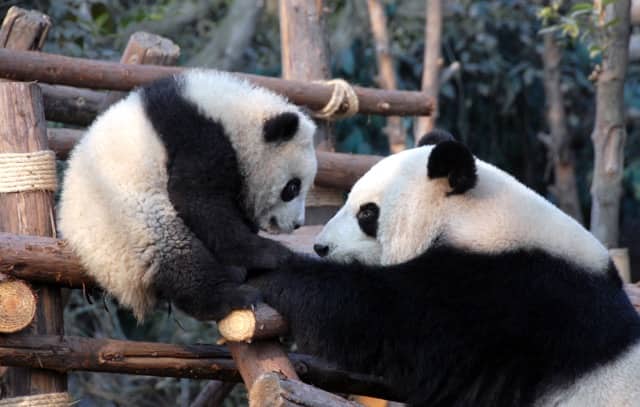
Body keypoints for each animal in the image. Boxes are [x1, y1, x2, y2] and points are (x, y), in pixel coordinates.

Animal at [58, 70, 317, 322]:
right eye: (292, 188)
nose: (297, 224)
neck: (236, 115)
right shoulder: (199, 138)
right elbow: (197, 201)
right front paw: (272, 253)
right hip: (127, 219)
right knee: (178, 255)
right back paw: (232, 295)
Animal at [250, 131, 640, 406]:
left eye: (367, 213)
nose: (321, 246)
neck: (478, 215)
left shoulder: (503, 295)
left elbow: (381, 317)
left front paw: (269, 271)